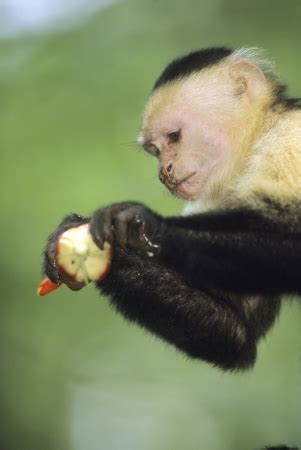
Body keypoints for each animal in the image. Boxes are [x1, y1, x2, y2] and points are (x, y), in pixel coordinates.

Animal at [43, 47, 300, 372]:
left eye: (174, 136)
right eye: (155, 150)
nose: (164, 172)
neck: (259, 136)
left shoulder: (289, 139)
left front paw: (143, 225)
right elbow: (236, 331)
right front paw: (112, 255)